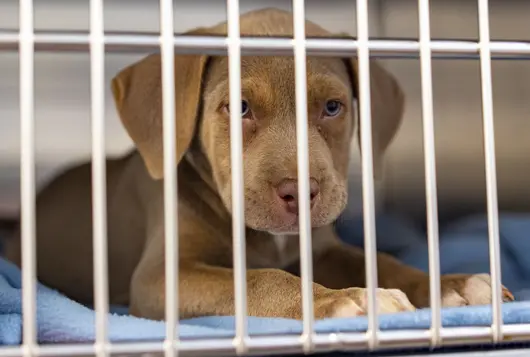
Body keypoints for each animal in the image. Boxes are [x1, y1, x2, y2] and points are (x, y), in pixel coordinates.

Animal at [2, 9, 510, 320]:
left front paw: (452, 285)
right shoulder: (161, 277)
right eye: (239, 107)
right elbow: (260, 279)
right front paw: (345, 299)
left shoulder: (322, 248)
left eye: (332, 107)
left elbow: (380, 260)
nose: (299, 192)